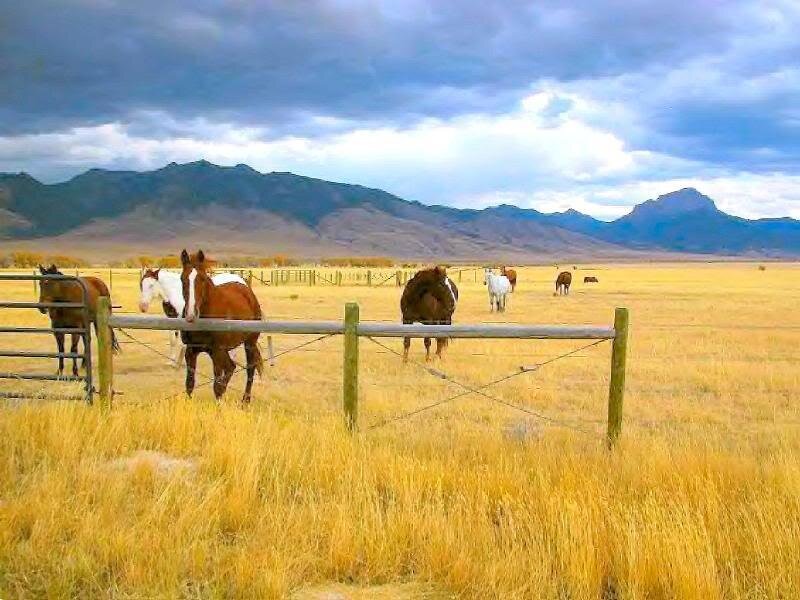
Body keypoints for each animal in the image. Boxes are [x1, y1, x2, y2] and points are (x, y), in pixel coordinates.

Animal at [180, 249, 263, 403]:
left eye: (202, 279)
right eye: (182, 279)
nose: (191, 314)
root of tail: (247, 291)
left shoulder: (217, 351)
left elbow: (217, 386)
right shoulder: (191, 350)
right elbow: (189, 383)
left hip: (249, 343)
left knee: (250, 369)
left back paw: (245, 401)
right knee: (231, 366)